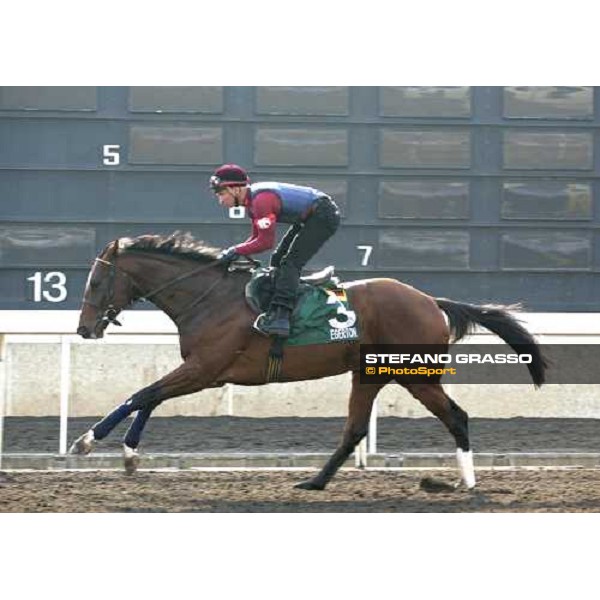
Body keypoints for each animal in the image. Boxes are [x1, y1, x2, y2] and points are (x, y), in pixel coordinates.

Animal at [72, 232, 548, 490]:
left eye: (95, 282)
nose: (84, 328)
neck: (210, 298)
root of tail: (432, 301)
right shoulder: (201, 372)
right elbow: (148, 398)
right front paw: (129, 455)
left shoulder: (206, 370)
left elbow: (140, 394)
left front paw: (87, 442)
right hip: (370, 374)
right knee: (355, 430)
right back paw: (315, 481)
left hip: (415, 375)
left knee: (457, 417)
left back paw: (467, 481)